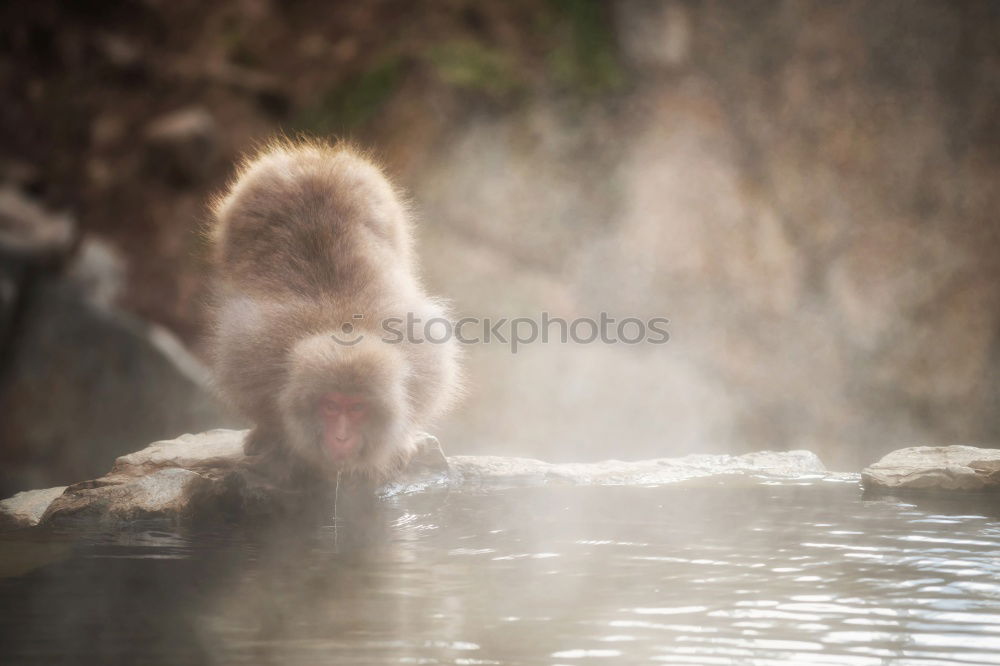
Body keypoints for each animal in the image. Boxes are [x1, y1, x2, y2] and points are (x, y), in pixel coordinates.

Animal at [211, 139, 464, 482]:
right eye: (330, 406)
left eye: (357, 408)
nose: (342, 437)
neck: (343, 328)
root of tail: (318, 155)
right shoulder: (252, 356)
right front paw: (273, 434)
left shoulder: (423, 355)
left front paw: (402, 442)